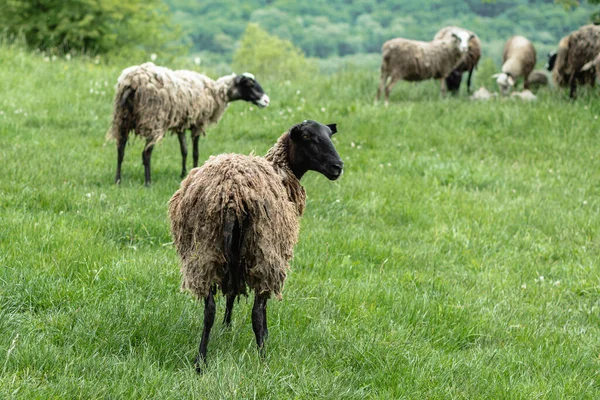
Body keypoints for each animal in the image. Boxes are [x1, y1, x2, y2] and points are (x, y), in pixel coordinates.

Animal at [108, 62, 270, 186]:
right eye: (249, 84)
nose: (266, 100)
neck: (215, 92)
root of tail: (132, 82)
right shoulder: (198, 123)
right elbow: (195, 152)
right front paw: (195, 170)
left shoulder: (182, 124)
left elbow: (184, 150)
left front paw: (183, 174)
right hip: (152, 119)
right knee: (146, 153)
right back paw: (148, 182)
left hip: (122, 119)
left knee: (120, 150)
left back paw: (118, 180)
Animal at [169, 120, 344, 374]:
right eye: (307, 137)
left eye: (330, 135)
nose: (337, 166)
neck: (281, 173)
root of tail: (231, 195)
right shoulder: (270, 255)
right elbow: (261, 307)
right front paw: (265, 335)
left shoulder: (233, 259)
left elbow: (231, 293)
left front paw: (227, 327)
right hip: (261, 250)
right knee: (256, 313)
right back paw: (263, 359)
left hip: (206, 251)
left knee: (209, 310)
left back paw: (200, 361)